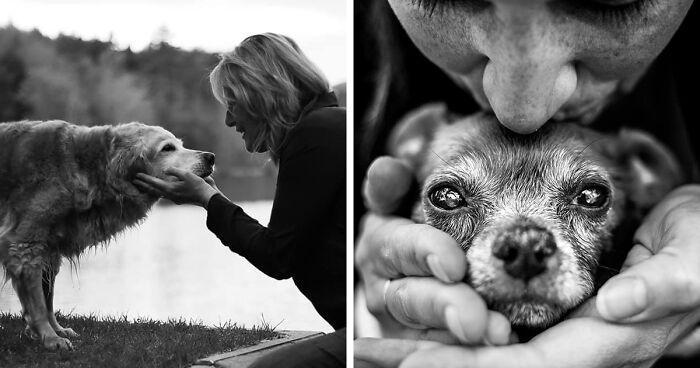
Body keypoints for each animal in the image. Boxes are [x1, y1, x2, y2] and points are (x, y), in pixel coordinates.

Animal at [0, 119, 215, 350]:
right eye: (167, 148)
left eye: (180, 145)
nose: (211, 157)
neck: (82, 168)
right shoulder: (25, 243)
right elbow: (38, 304)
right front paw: (49, 338)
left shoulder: (49, 249)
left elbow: (47, 297)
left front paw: (55, 329)